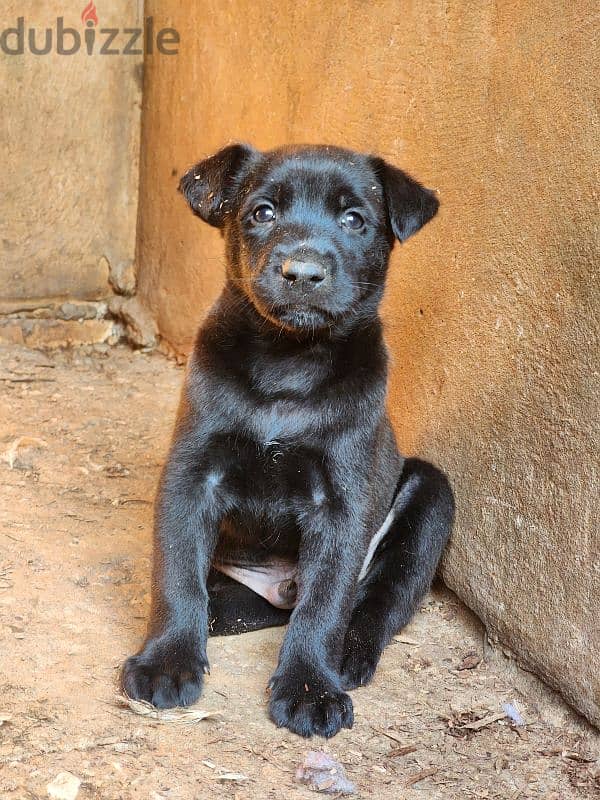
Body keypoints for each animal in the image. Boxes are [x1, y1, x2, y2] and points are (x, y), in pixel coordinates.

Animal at [122, 142, 454, 736]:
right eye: (263, 213)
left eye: (354, 220)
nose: (302, 272)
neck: (288, 362)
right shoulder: (192, 475)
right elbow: (176, 574)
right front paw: (167, 661)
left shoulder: (342, 504)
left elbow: (326, 603)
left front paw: (309, 688)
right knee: (230, 600)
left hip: (433, 493)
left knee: (377, 598)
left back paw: (349, 655)